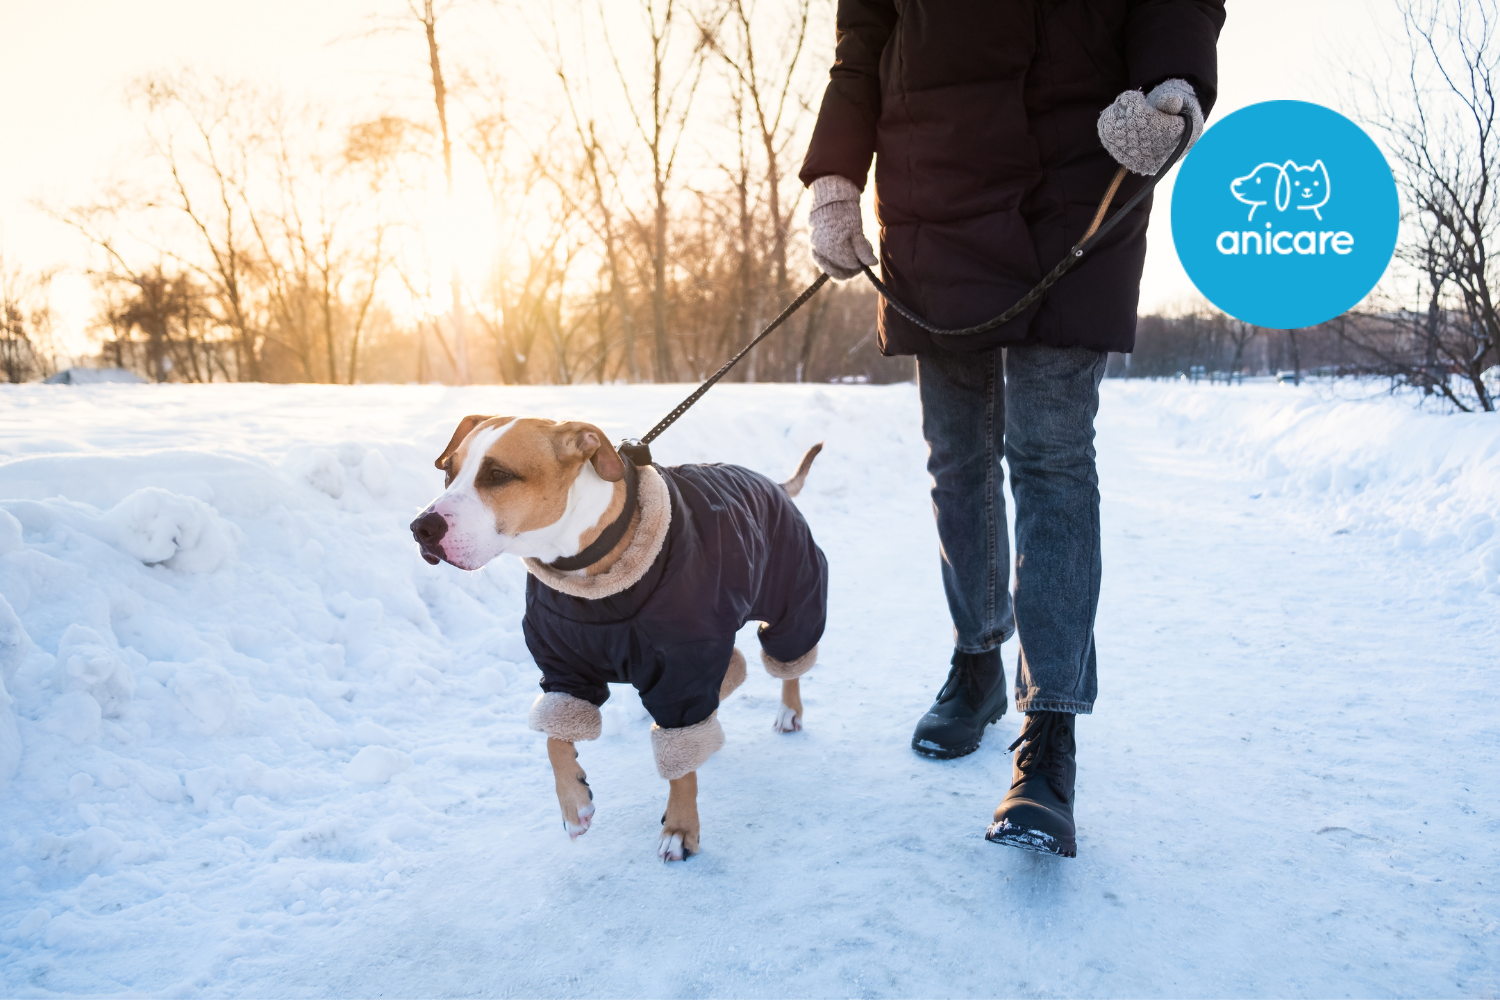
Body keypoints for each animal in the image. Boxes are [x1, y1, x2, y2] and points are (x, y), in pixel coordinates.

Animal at [411, 419, 828, 863]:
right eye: (448, 472)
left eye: (497, 475)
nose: (421, 528)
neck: (586, 570)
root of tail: (773, 483)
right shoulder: (563, 670)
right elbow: (556, 739)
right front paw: (574, 804)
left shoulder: (681, 668)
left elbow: (680, 763)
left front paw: (680, 828)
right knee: (733, 667)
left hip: (793, 593)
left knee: (789, 657)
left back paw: (789, 711)